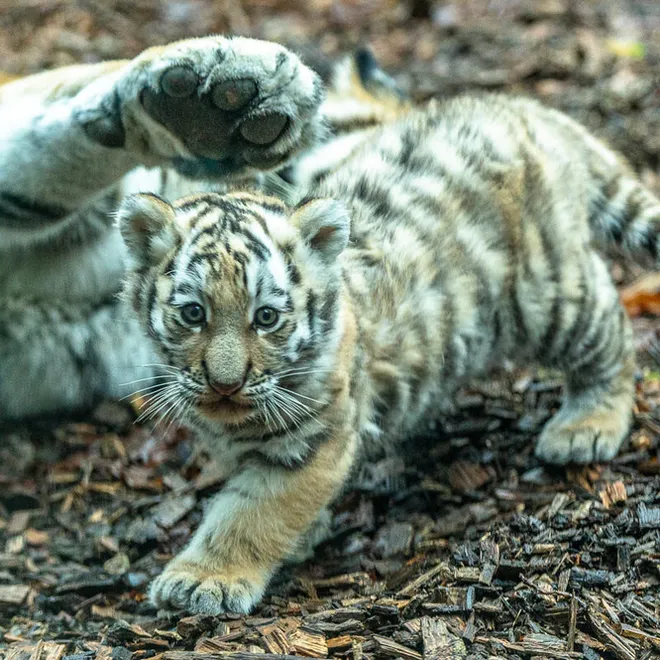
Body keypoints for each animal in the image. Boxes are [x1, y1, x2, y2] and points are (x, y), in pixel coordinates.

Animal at [106, 36, 660, 614]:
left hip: (548, 292)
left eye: (266, 318)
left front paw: (202, 579)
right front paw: (302, 536)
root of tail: (527, 109)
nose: (225, 383)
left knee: (611, 332)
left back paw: (586, 427)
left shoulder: (314, 443)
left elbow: (249, 514)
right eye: (194, 314)